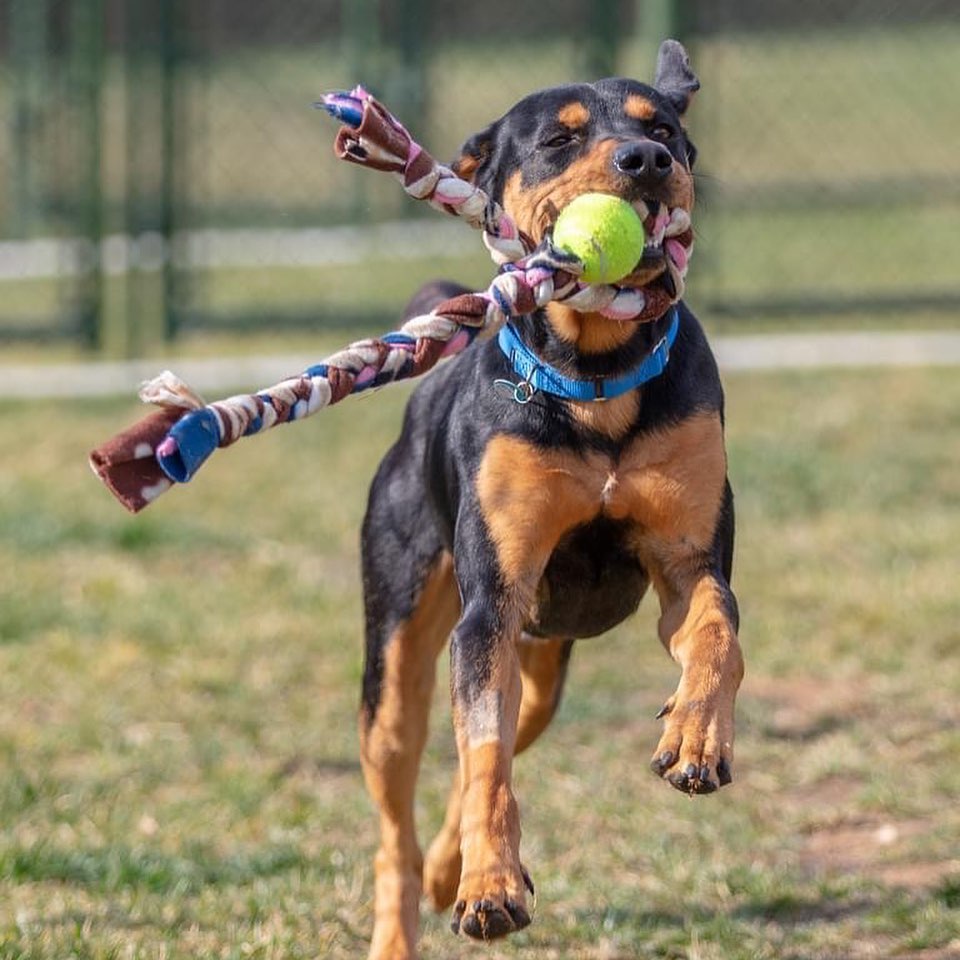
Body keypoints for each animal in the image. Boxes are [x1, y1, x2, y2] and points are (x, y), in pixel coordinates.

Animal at [356, 41, 740, 956]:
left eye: (662, 128)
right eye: (559, 141)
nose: (645, 162)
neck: (597, 373)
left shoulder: (688, 560)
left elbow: (715, 632)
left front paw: (695, 736)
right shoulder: (490, 606)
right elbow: (484, 760)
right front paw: (491, 887)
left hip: (543, 669)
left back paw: (445, 869)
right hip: (396, 659)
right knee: (404, 805)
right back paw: (407, 917)